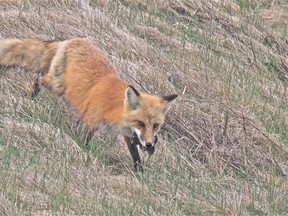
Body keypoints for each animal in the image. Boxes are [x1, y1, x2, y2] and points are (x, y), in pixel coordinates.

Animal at [0, 37, 178, 172]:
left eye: (156, 125)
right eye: (140, 123)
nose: (149, 144)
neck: (116, 109)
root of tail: (73, 39)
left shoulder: (127, 133)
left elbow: (135, 156)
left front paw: (139, 173)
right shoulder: (90, 122)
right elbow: (83, 142)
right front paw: (84, 155)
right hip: (57, 86)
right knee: (38, 79)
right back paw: (31, 97)